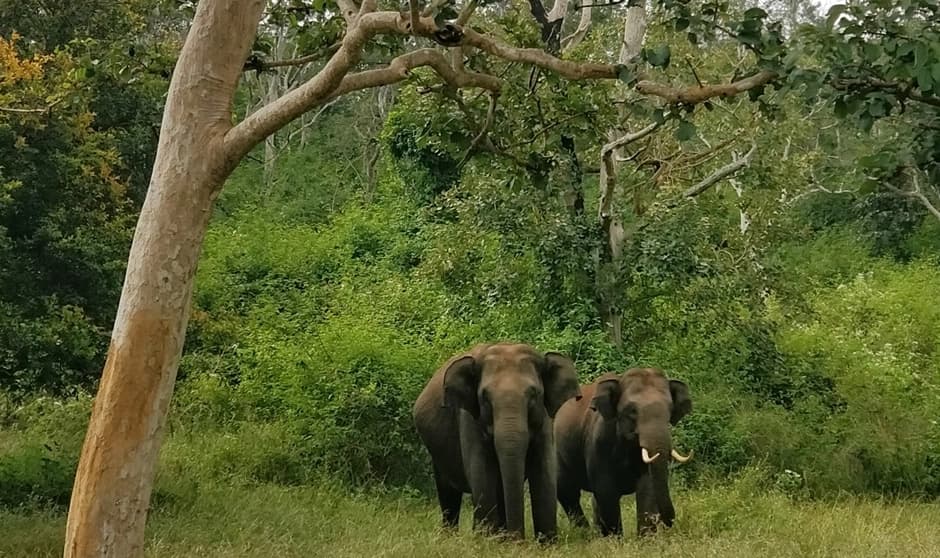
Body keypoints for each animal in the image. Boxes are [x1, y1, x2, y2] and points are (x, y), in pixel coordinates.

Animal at [412, 343, 581, 541]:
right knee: (448, 493)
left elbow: (544, 471)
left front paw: (546, 543)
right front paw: (486, 541)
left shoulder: (545, 419)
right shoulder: (469, 418)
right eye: (485, 397)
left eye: (534, 394)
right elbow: (482, 471)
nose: (518, 541)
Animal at [554, 367, 693, 537]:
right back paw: (586, 534)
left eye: (670, 410)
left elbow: (647, 486)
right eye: (632, 411)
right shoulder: (598, 442)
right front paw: (615, 538)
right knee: (568, 492)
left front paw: (646, 538)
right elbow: (606, 490)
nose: (669, 522)